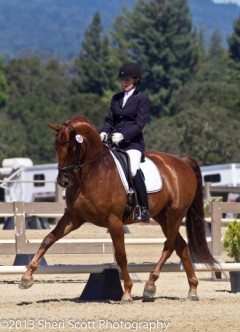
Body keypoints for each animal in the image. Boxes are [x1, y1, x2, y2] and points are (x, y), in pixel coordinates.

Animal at [19, 115, 217, 304]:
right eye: (55, 146)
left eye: (72, 147)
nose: (63, 181)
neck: (92, 173)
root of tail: (182, 161)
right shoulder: (74, 217)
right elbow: (48, 239)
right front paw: (26, 277)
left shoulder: (114, 221)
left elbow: (121, 256)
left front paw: (127, 293)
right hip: (162, 216)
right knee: (180, 246)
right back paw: (192, 290)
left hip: (176, 213)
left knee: (169, 246)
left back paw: (150, 286)